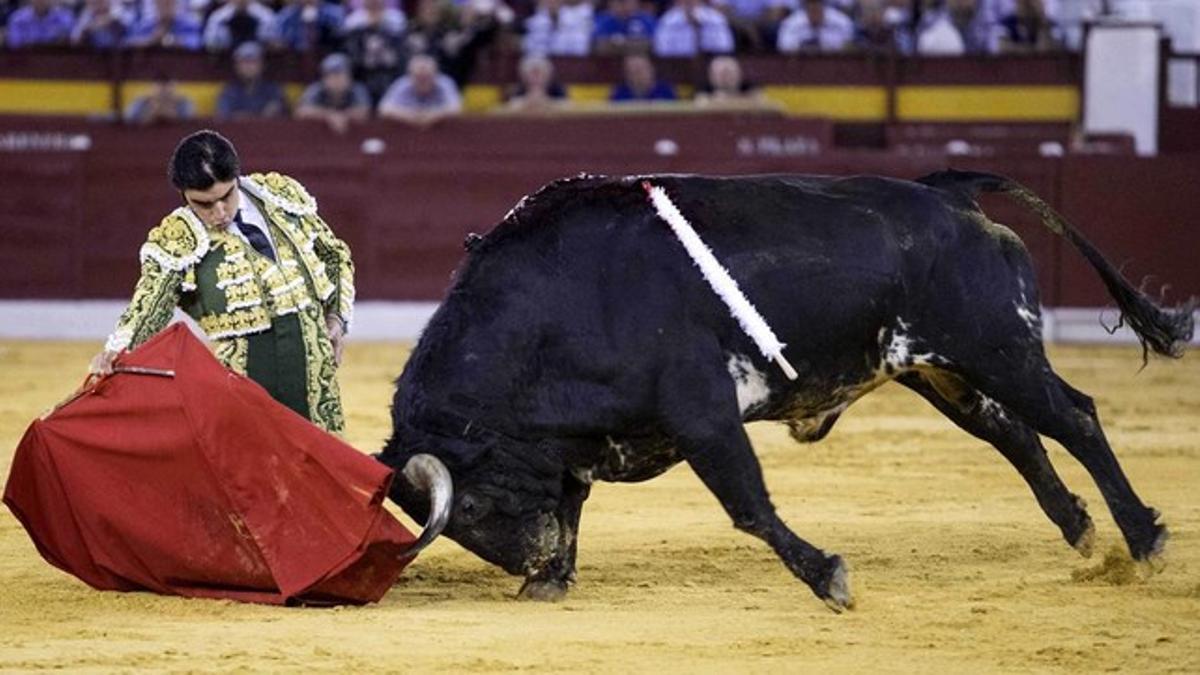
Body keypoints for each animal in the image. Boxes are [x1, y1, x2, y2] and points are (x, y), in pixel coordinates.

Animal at [374, 169, 1190, 610]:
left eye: (467, 508)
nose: (528, 560)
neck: (551, 306)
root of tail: (945, 192)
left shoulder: (700, 413)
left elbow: (748, 506)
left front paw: (829, 576)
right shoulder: (576, 439)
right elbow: (573, 502)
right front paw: (553, 578)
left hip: (998, 347)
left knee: (1075, 417)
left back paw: (1143, 538)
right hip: (940, 370)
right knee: (1014, 433)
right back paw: (1081, 529)